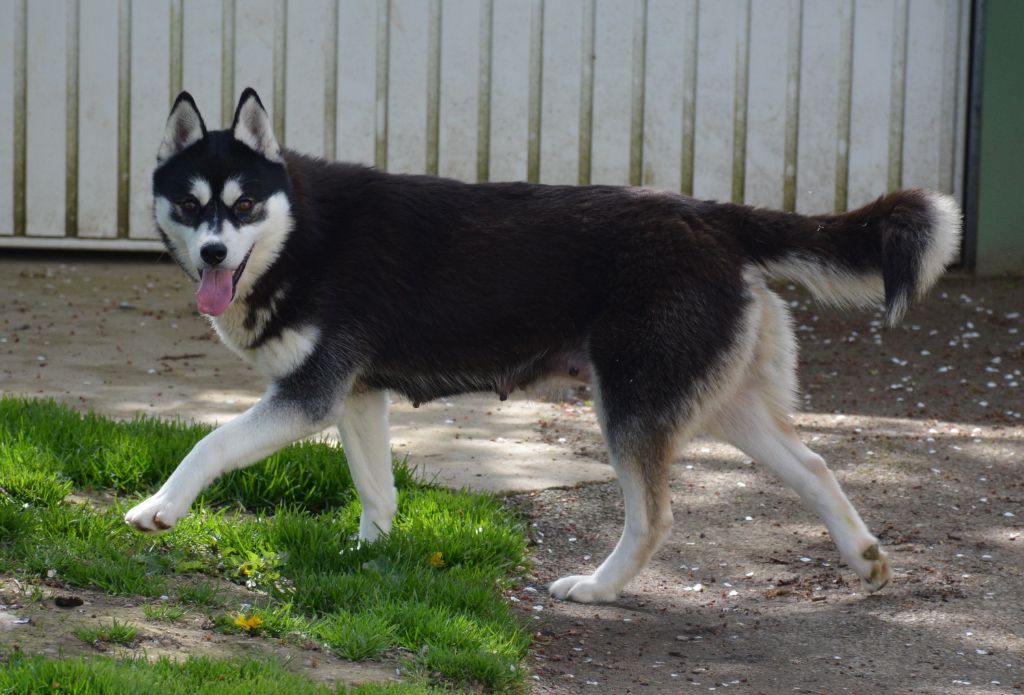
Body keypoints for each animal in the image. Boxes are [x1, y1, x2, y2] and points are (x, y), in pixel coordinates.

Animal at [125, 91, 958, 601]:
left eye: (243, 206)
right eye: (192, 205)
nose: (213, 254)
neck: (301, 233)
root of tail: (710, 213)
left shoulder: (308, 396)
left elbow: (210, 442)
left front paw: (160, 508)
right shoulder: (355, 396)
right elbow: (377, 490)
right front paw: (368, 556)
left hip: (631, 406)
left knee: (653, 518)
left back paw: (597, 587)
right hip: (727, 407)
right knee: (815, 465)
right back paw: (864, 557)